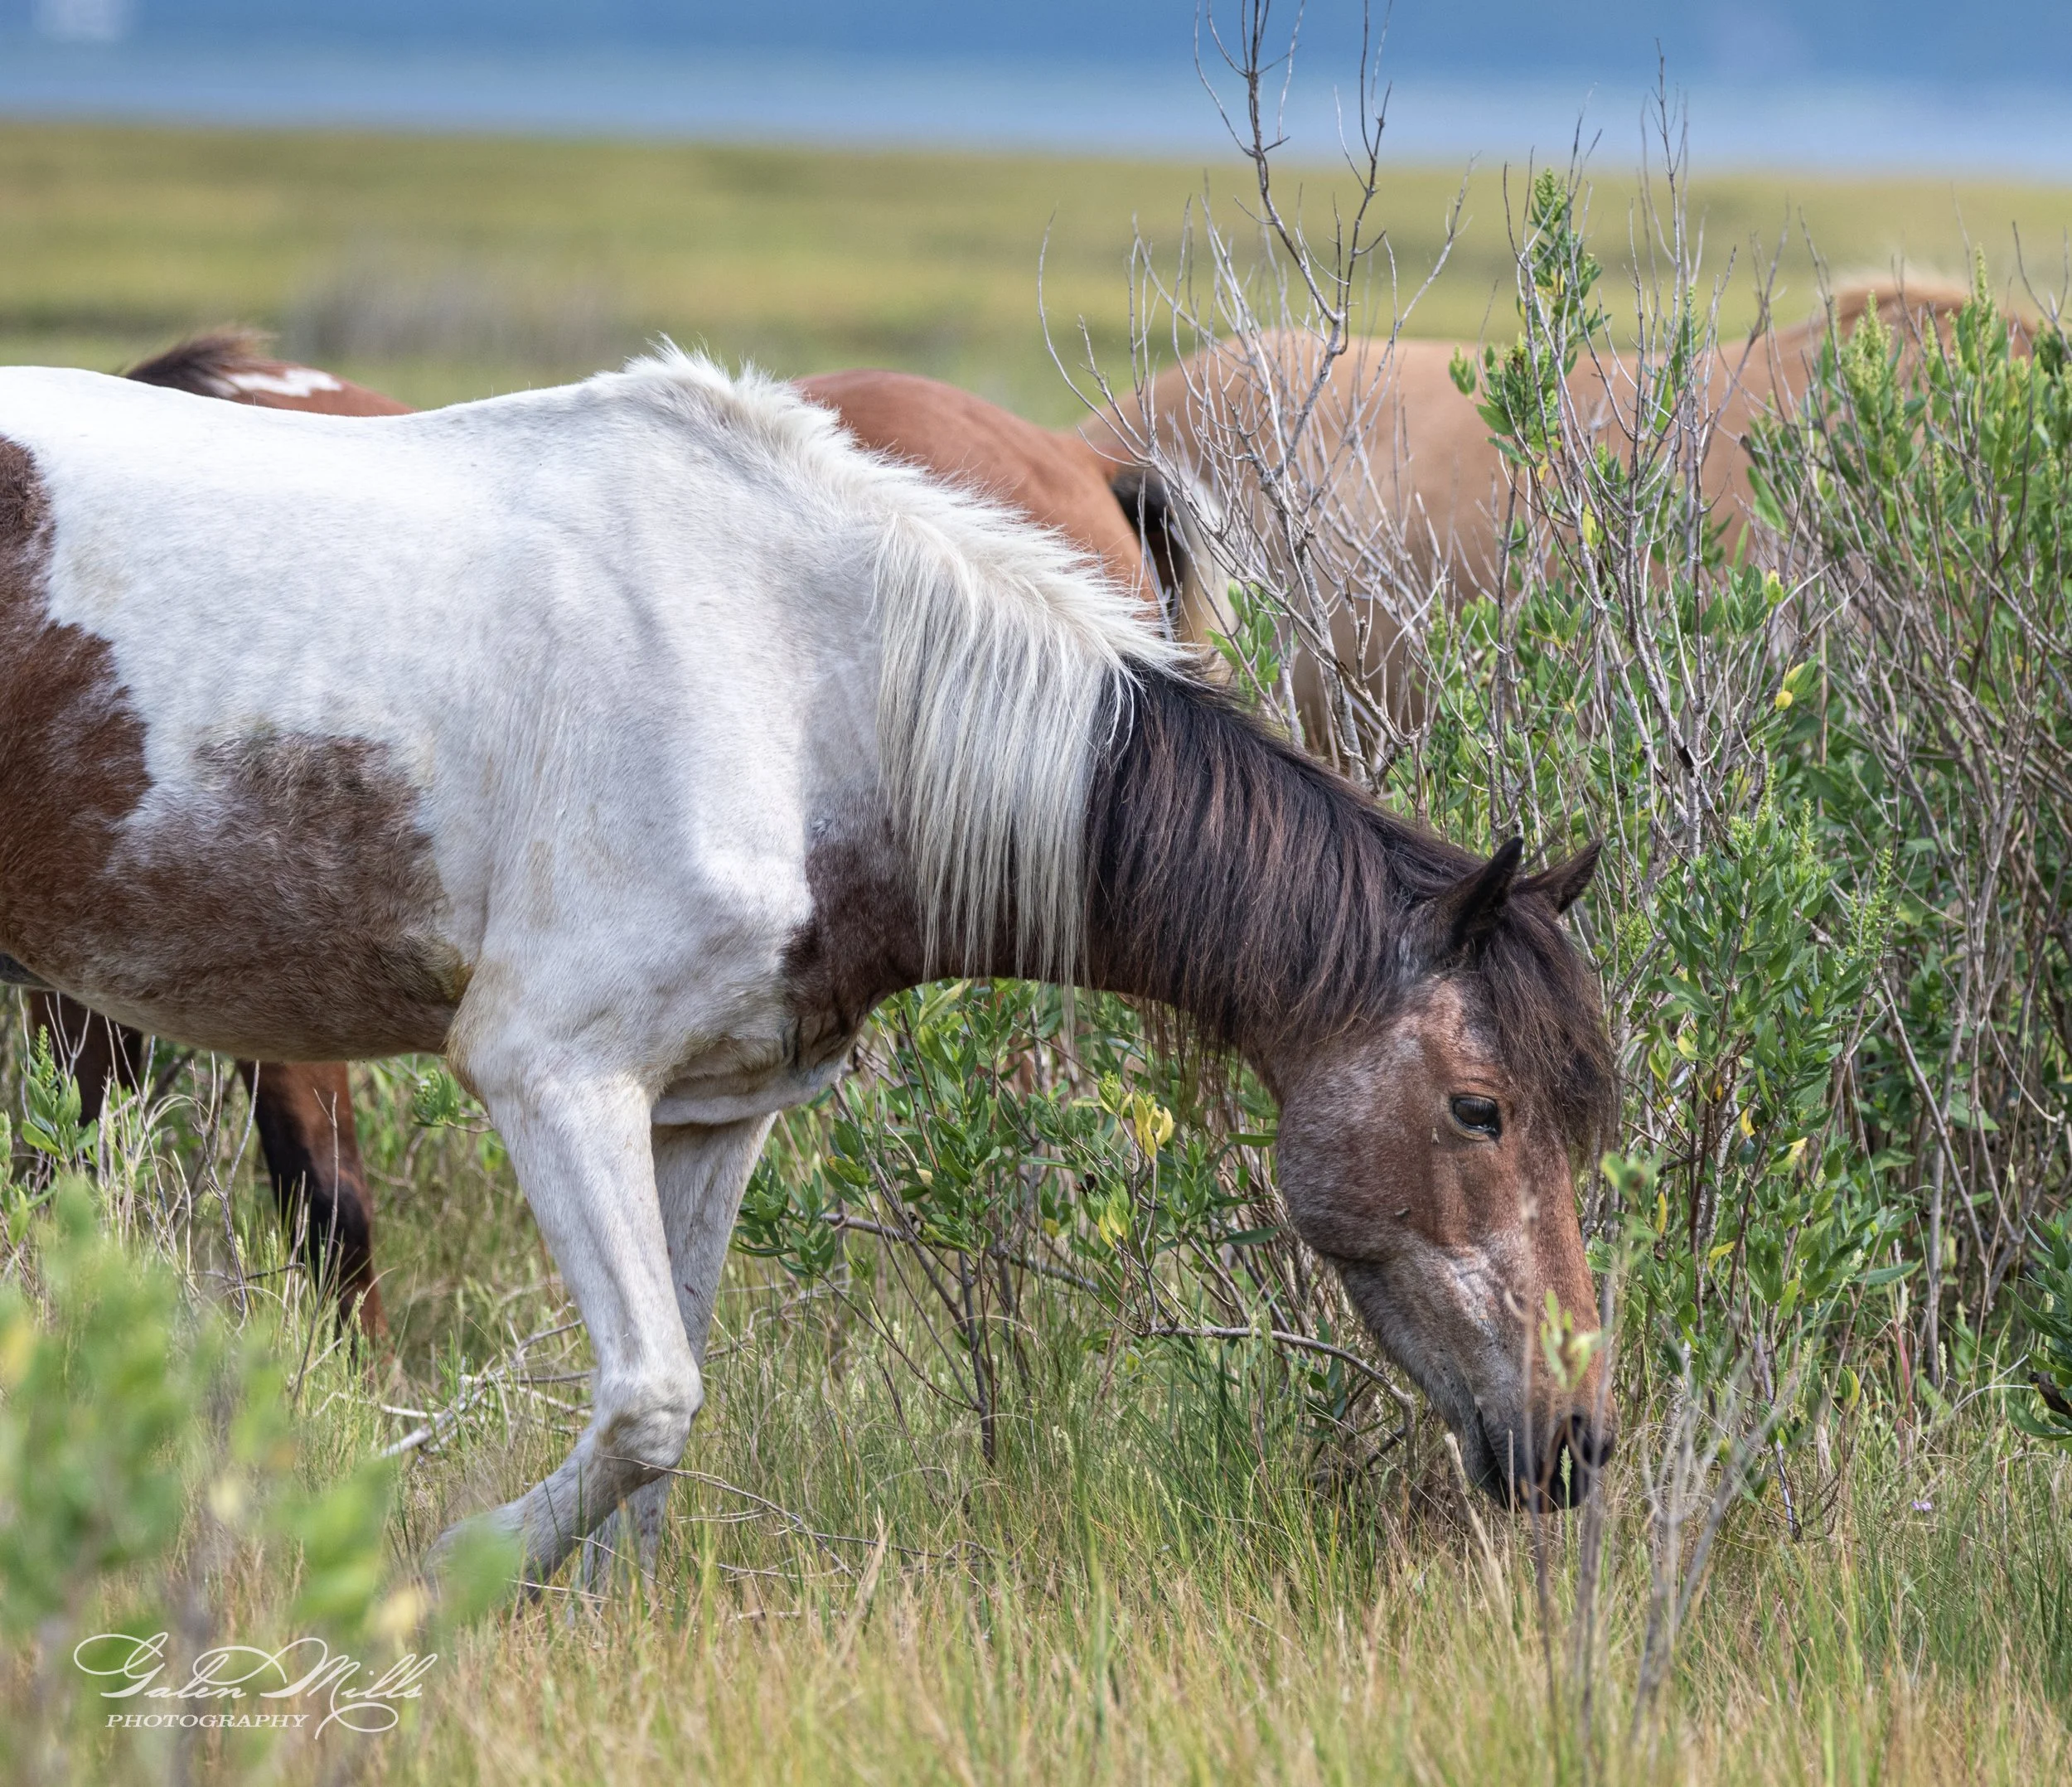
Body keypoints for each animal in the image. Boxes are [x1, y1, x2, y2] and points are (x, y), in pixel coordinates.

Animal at [0, 351, 1615, 1586]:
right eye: (1478, 1110)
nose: (1578, 1437)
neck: (802, 693)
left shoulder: (707, 1114)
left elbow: (661, 1436)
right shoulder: (551, 1073)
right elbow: (652, 1400)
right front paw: (454, 1569)